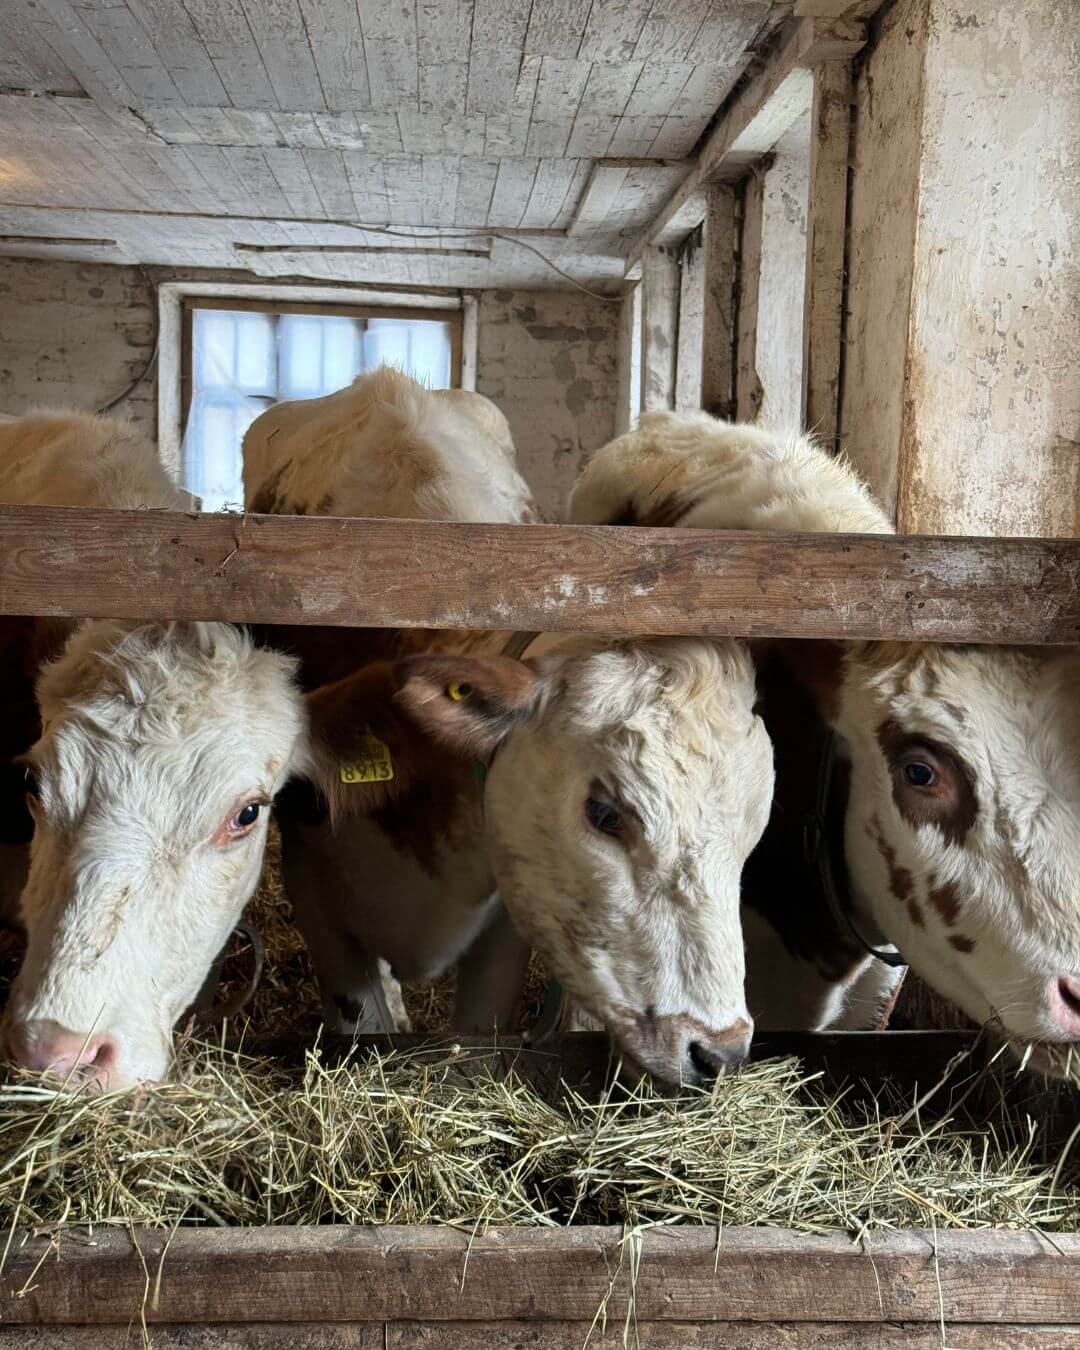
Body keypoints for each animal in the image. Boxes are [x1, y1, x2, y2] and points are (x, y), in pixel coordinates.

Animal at [243, 368, 775, 1085]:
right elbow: (364, 1020)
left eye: (752, 835)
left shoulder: (502, 918)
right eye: (604, 814)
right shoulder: (315, 887)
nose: (718, 1051)